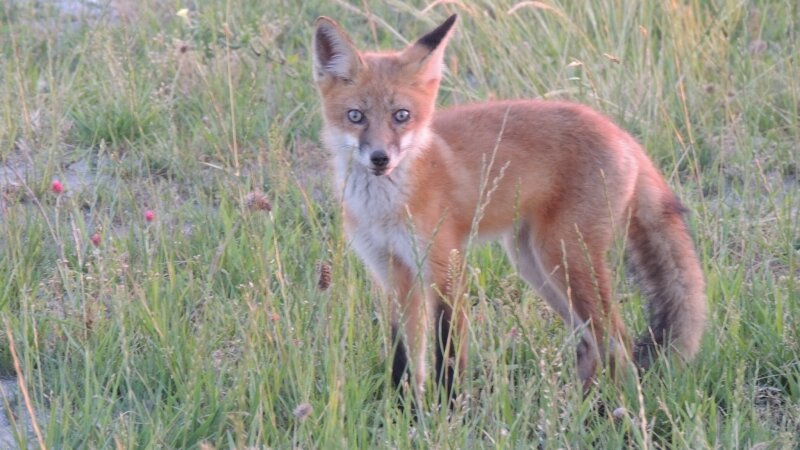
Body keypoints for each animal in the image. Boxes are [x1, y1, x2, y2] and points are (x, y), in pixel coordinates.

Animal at [312, 14, 706, 400]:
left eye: (401, 115)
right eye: (356, 116)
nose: (380, 158)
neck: (384, 208)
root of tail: (622, 134)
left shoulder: (445, 269)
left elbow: (448, 356)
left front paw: (449, 412)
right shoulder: (392, 273)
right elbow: (403, 360)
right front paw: (403, 411)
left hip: (563, 257)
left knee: (617, 341)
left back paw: (612, 410)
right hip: (534, 263)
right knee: (590, 342)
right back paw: (578, 408)